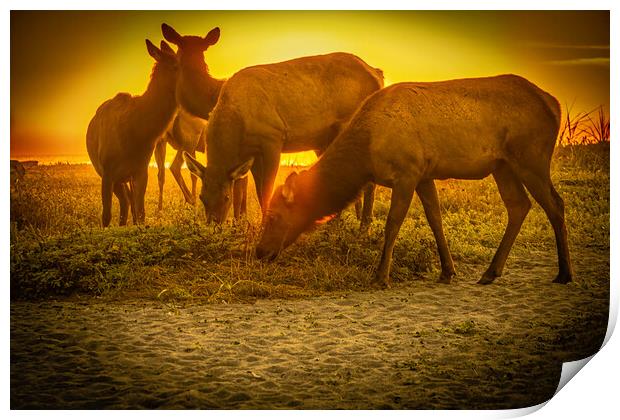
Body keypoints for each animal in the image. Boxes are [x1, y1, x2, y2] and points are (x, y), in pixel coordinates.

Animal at [85, 40, 177, 226]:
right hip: (112, 176)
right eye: (175, 65)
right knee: (125, 202)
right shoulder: (107, 171)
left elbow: (140, 214)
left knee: (127, 203)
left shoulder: (140, 170)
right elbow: (106, 216)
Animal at [161, 23, 378, 226]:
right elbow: (251, 190)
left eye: (225, 197)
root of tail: (377, 74)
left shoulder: (273, 137)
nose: (214, 223)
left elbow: (265, 190)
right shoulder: (250, 154)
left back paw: (363, 224)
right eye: (202, 198)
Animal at [256, 74, 572, 288]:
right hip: (503, 164)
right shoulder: (424, 175)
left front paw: (381, 275)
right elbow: (435, 219)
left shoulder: (406, 173)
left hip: (531, 157)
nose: (259, 252)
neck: (365, 155)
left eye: (273, 216)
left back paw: (564, 273)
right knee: (519, 205)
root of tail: (555, 104)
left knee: (555, 203)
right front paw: (447, 270)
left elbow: (392, 223)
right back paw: (490, 272)